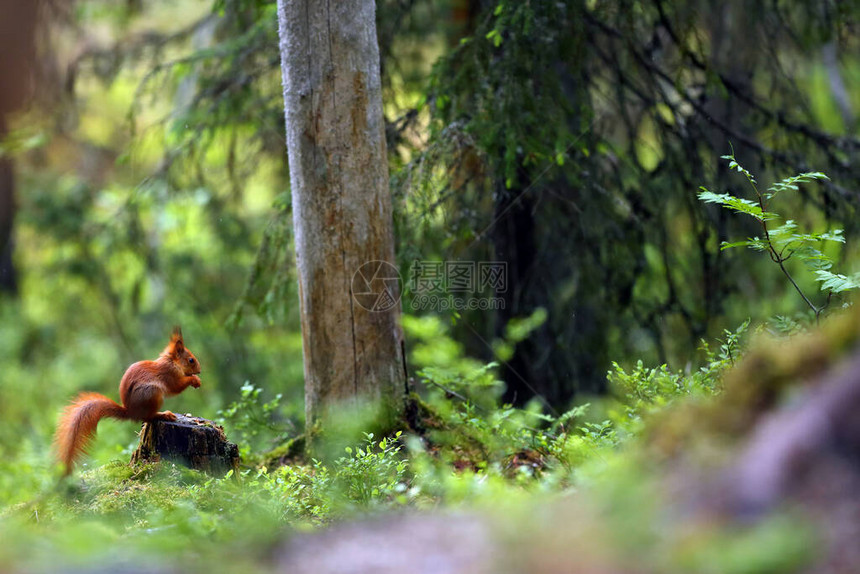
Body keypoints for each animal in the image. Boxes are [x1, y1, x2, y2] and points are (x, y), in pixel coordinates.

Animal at [54, 328, 202, 476]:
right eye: (191, 360)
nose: (199, 371)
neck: (172, 361)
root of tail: (130, 412)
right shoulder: (170, 373)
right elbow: (176, 387)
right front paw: (194, 380)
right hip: (152, 393)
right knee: (148, 417)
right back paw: (164, 414)